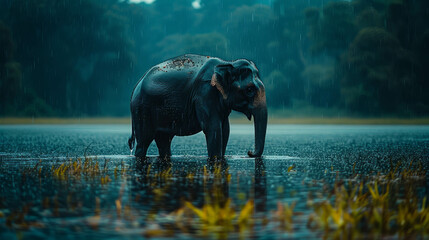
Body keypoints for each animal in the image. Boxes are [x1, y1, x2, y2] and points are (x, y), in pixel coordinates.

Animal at [129, 53, 266, 160]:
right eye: (249, 90)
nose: (249, 152)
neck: (227, 63)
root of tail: (136, 85)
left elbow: (225, 129)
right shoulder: (205, 93)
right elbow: (213, 128)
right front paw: (216, 158)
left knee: (164, 141)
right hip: (141, 109)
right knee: (144, 141)